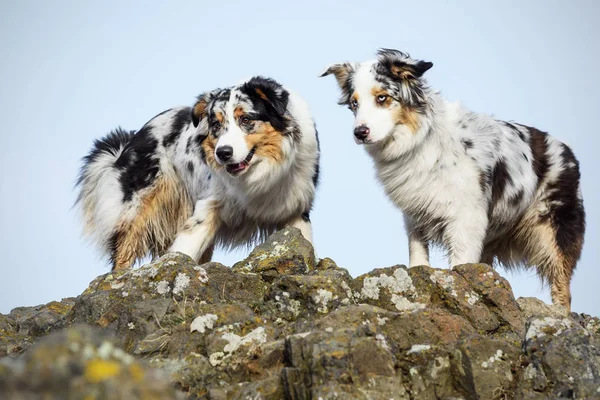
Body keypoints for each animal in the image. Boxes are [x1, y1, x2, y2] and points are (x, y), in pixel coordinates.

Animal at [77, 76, 322, 272]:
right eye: (216, 124)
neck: (258, 174)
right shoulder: (208, 203)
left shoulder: (296, 206)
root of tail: (132, 140)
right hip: (140, 206)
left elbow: (304, 241)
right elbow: (187, 245)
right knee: (124, 249)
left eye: (245, 119)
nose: (223, 153)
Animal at [324, 47, 584, 310]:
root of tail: (568, 152)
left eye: (382, 98)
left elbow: (460, 262)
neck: (423, 141)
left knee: (563, 287)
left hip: (553, 235)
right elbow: (418, 255)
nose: (359, 132)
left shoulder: (466, 220)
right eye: (354, 103)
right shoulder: (415, 213)